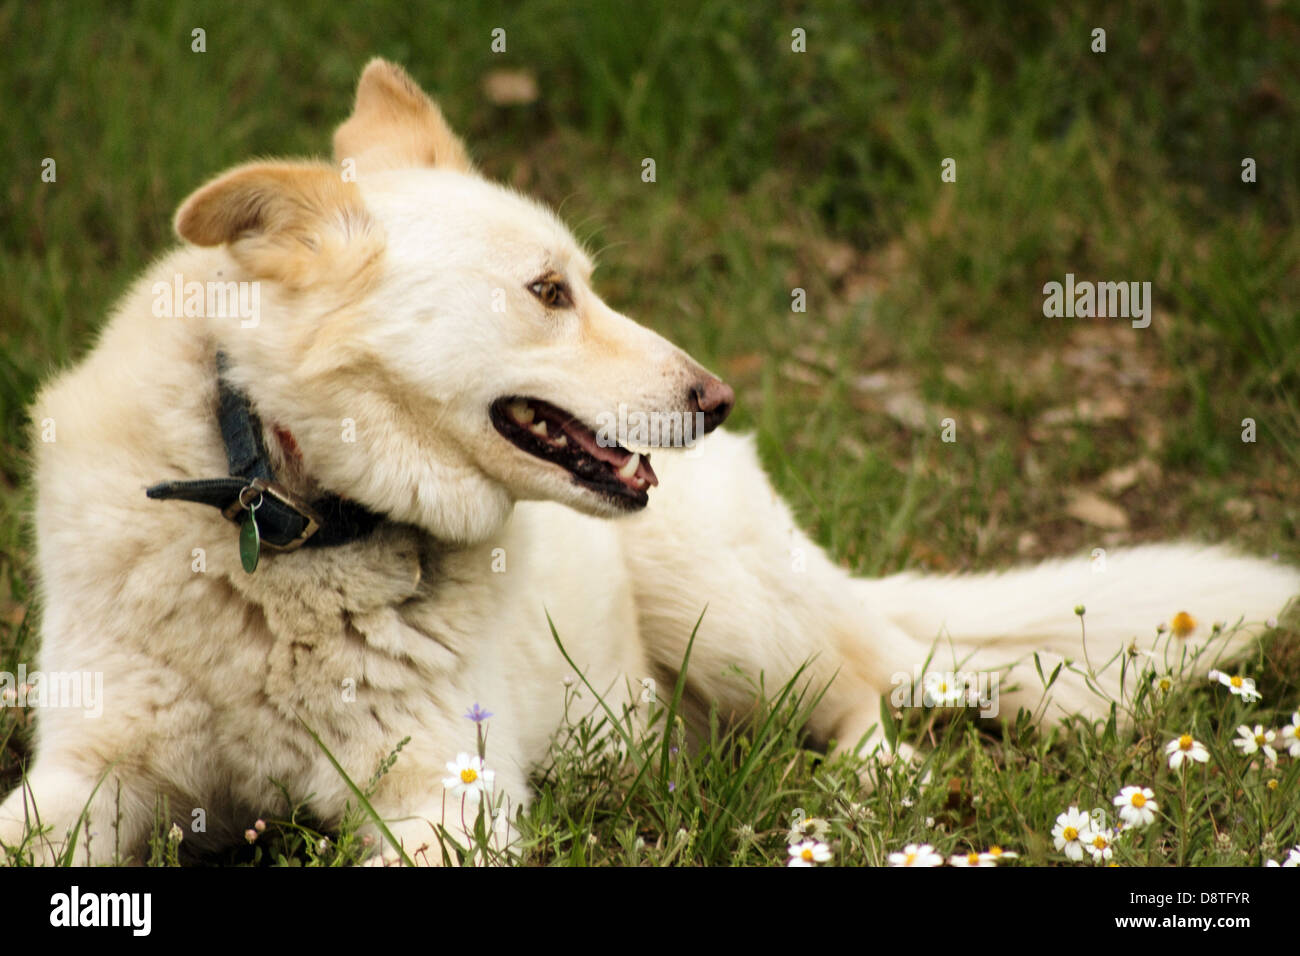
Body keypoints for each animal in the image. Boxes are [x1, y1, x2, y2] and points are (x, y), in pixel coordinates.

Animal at [2, 59, 1300, 863]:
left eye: (582, 279)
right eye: (549, 291)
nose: (716, 398)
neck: (292, 513)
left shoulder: (442, 796)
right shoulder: (89, 772)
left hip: (724, 607)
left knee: (866, 698)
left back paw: (853, 788)